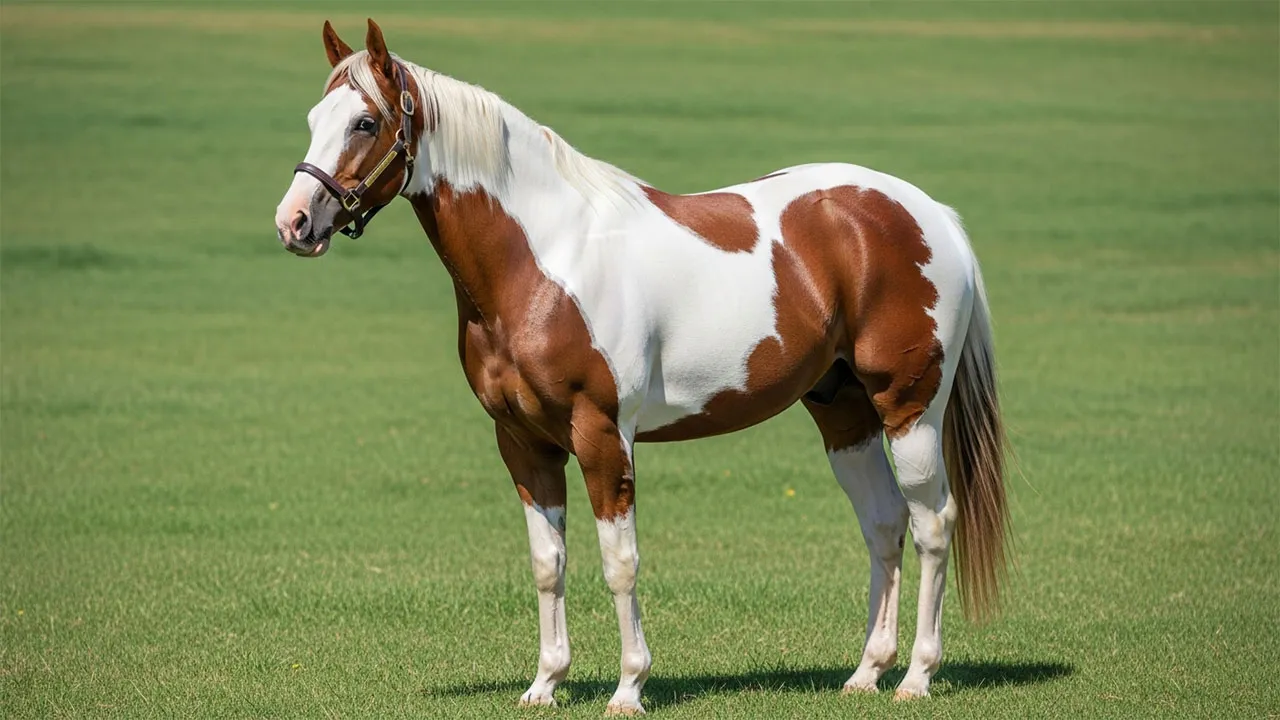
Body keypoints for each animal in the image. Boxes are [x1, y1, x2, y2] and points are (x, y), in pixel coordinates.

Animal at [274, 19, 1011, 715]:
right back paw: (866, 673)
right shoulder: (523, 443)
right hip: (844, 413)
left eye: (365, 122)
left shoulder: (602, 436)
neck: (547, 257)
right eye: (313, 119)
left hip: (909, 409)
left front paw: (628, 688)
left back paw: (916, 677)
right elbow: (548, 563)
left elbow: (619, 563)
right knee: (883, 523)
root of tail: (928, 213)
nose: (295, 222)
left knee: (932, 525)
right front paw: (545, 684)